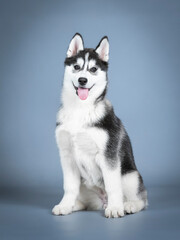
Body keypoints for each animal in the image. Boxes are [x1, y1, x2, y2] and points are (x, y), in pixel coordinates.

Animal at [52, 32, 148, 218]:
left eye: (93, 69)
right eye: (76, 67)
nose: (82, 80)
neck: (80, 109)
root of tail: (101, 202)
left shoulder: (108, 155)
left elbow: (112, 186)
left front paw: (115, 208)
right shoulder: (66, 155)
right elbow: (69, 186)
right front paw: (65, 205)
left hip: (130, 176)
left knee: (142, 199)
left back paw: (128, 205)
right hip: (86, 185)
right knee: (84, 200)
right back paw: (75, 205)